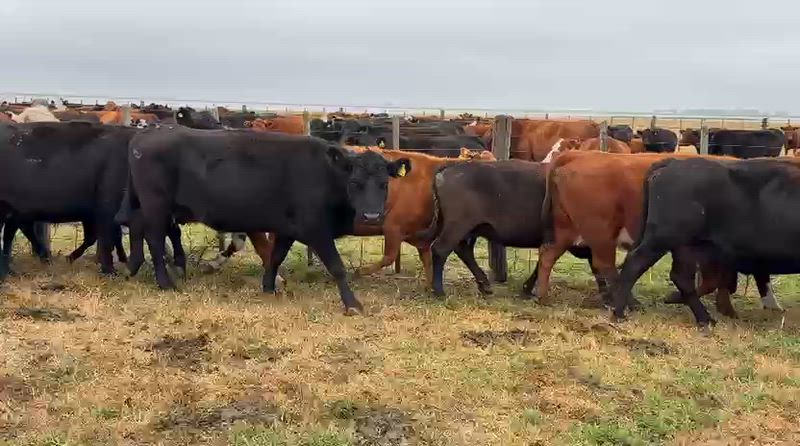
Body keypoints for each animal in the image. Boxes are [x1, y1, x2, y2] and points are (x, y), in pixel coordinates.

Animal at [119, 127, 412, 314]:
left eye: (384, 184)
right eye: (355, 183)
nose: (371, 216)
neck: (326, 175)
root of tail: (147, 133)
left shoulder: (287, 229)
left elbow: (275, 257)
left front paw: (269, 288)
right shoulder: (317, 230)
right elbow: (337, 267)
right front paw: (352, 304)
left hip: (149, 207)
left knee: (137, 227)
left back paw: (133, 267)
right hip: (156, 206)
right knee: (154, 239)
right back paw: (165, 282)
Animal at [535, 151, 781, 317]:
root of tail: (577, 154)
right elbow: (717, 280)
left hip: (568, 229)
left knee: (548, 254)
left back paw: (543, 296)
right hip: (601, 232)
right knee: (607, 266)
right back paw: (630, 303)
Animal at [610, 157, 800, 327]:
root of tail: (673, 162)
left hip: (687, 247)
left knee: (681, 277)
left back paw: (704, 318)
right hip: (663, 239)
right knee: (634, 264)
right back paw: (619, 314)